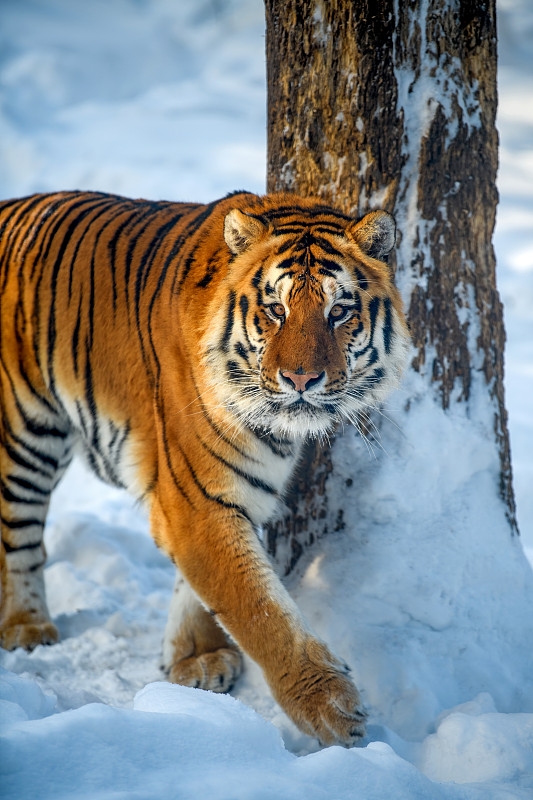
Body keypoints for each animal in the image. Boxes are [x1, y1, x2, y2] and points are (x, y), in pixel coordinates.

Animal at [0, 191, 410, 748]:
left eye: (339, 311)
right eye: (276, 310)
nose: (301, 378)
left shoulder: (227, 494)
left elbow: (203, 589)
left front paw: (197, 660)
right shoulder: (195, 499)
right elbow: (257, 607)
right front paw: (330, 708)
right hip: (24, 432)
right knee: (17, 533)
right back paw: (26, 629)